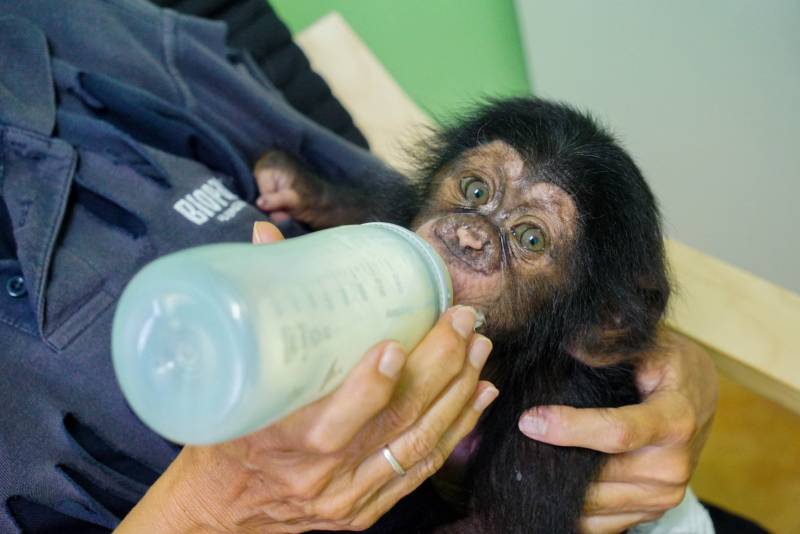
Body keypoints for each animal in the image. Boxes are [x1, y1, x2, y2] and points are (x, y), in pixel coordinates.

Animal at [255, 98, 668, 532]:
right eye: (476, 190)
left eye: (531, 239)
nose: (470, 237)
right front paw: (298, 185)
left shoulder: (565, 402)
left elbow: (495, 525)